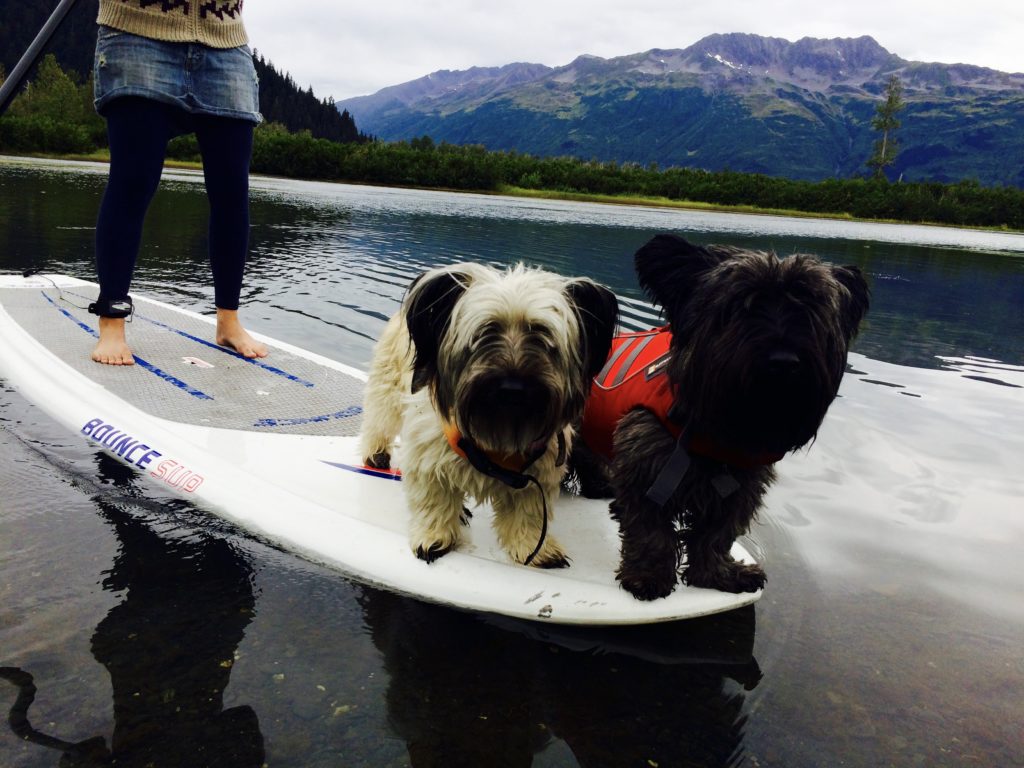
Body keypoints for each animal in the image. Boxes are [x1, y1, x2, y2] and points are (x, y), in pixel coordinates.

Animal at [360, 262, 614, 569]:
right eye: (485, 333)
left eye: (542, 336)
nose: (513, 388)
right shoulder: (428, 456)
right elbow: (434, 501)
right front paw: (434, 537)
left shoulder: (538, 473)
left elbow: (527, 515)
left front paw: (534, 548)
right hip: (387, 386)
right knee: (378, 419)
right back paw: (375, 453)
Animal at [573, 234, 868, 602]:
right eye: (742, 304)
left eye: (809, 308)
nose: (783, 361)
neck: (721, 422)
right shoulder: (647, 469)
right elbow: (651, 531)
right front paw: (647, 576)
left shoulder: (741, 488)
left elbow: (715, 536)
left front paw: (716, 574)